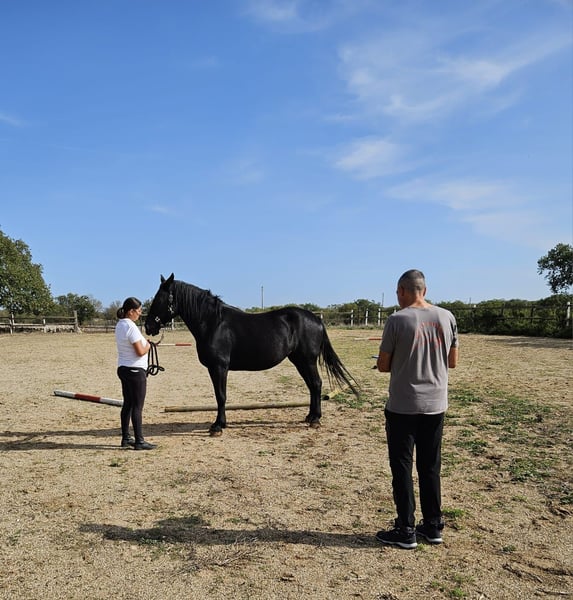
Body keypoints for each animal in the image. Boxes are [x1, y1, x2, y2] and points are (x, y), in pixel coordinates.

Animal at [145, 274, 359, 436]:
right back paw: (310, 417)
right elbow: (220, 396)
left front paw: (217, 426)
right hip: (299, 361)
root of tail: (316, 319)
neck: (213, 323)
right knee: (312, 386)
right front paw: (221, 424)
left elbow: (220, 395)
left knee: (316, 384)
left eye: (160, 299)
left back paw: (315, 419)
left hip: (307, 360)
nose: (148, 326)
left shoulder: (219, 367)